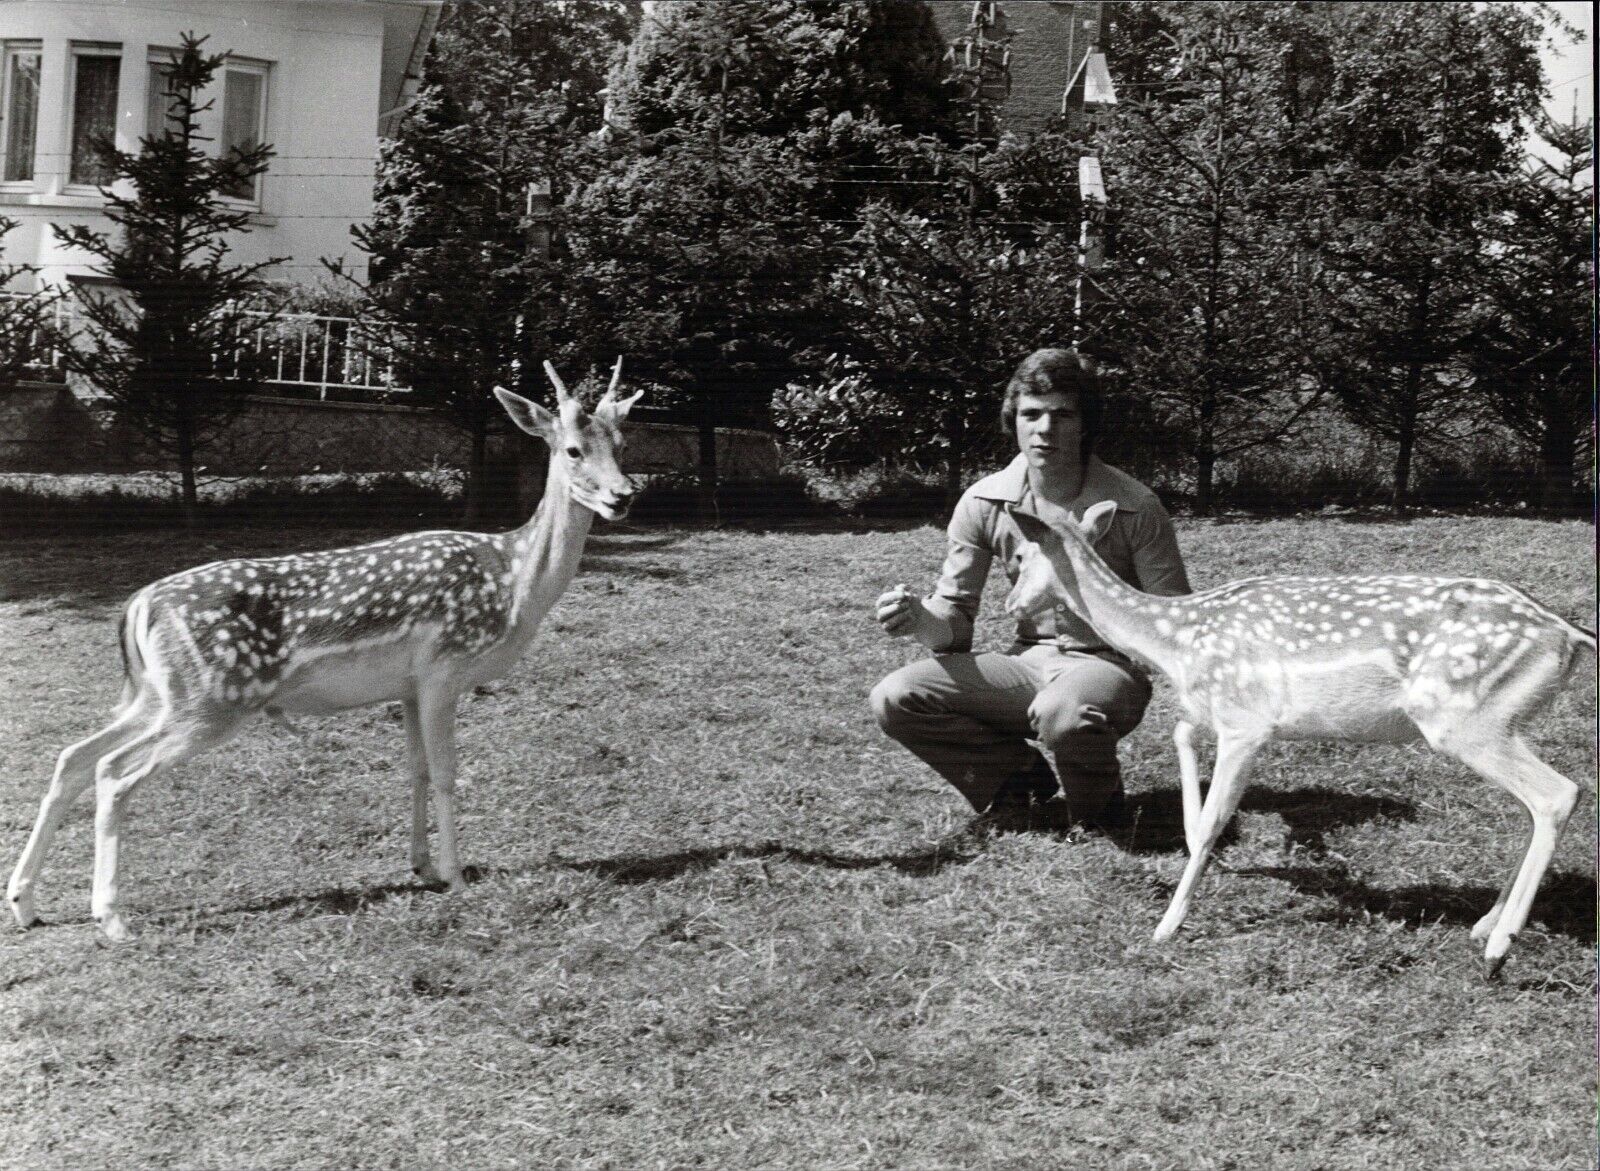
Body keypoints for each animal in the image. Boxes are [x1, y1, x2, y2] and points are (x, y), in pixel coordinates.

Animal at [1004, 502, 1593, 979]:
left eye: (1019, 556)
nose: (1010, 603)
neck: (1176, 642)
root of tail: (1570, 635)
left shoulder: (1246, 721)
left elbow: (1215, 818)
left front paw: (1166, 926)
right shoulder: (1221, 712)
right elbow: (1182, 732)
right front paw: (1190, 838)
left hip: (1461, 718)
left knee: (1558, 793)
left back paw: (1498, 950)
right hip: (1499, 719)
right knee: (1532, 807)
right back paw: (1485, 924)